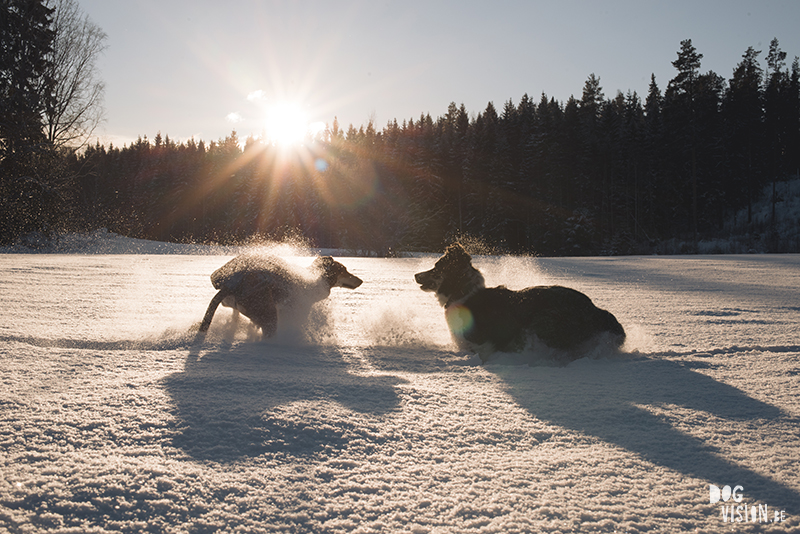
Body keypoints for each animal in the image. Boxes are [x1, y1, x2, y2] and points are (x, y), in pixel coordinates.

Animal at [416, 245, 628, 362]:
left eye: (436, 267)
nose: (415, 275)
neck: (464, 294)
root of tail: (596, 310)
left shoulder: (482, 343)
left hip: (545, 321)